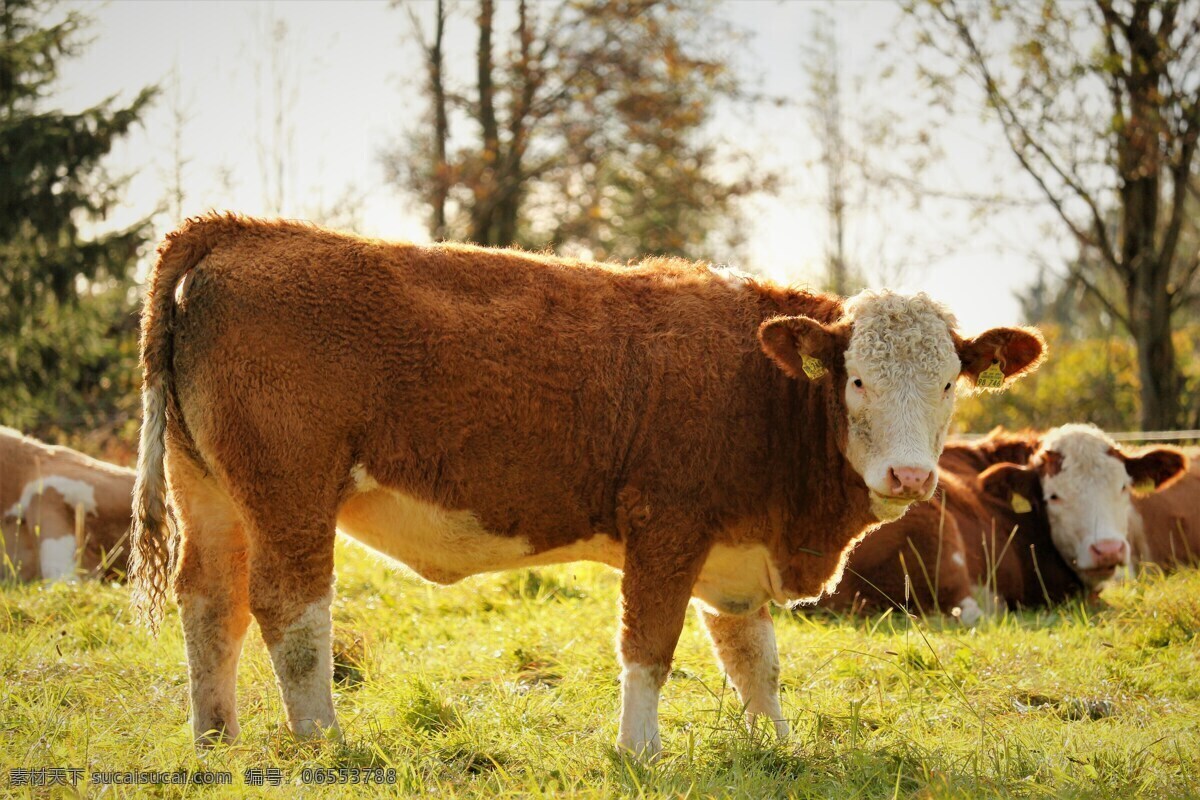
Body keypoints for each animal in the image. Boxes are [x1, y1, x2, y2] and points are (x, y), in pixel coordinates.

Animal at [131, 214, 1046, 758]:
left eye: (949, 384)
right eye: (856, 380)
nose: (910, 474)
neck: (763, 387)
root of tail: (238, 231)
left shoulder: (736, 553)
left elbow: (755, 661)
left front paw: (776, 746)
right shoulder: (667, 526)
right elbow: (649, 646)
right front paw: (639, 751)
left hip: (208, 489)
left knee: (210, 604)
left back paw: (214, 741)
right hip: (290, 491)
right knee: (291, 613)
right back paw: (326, 743)